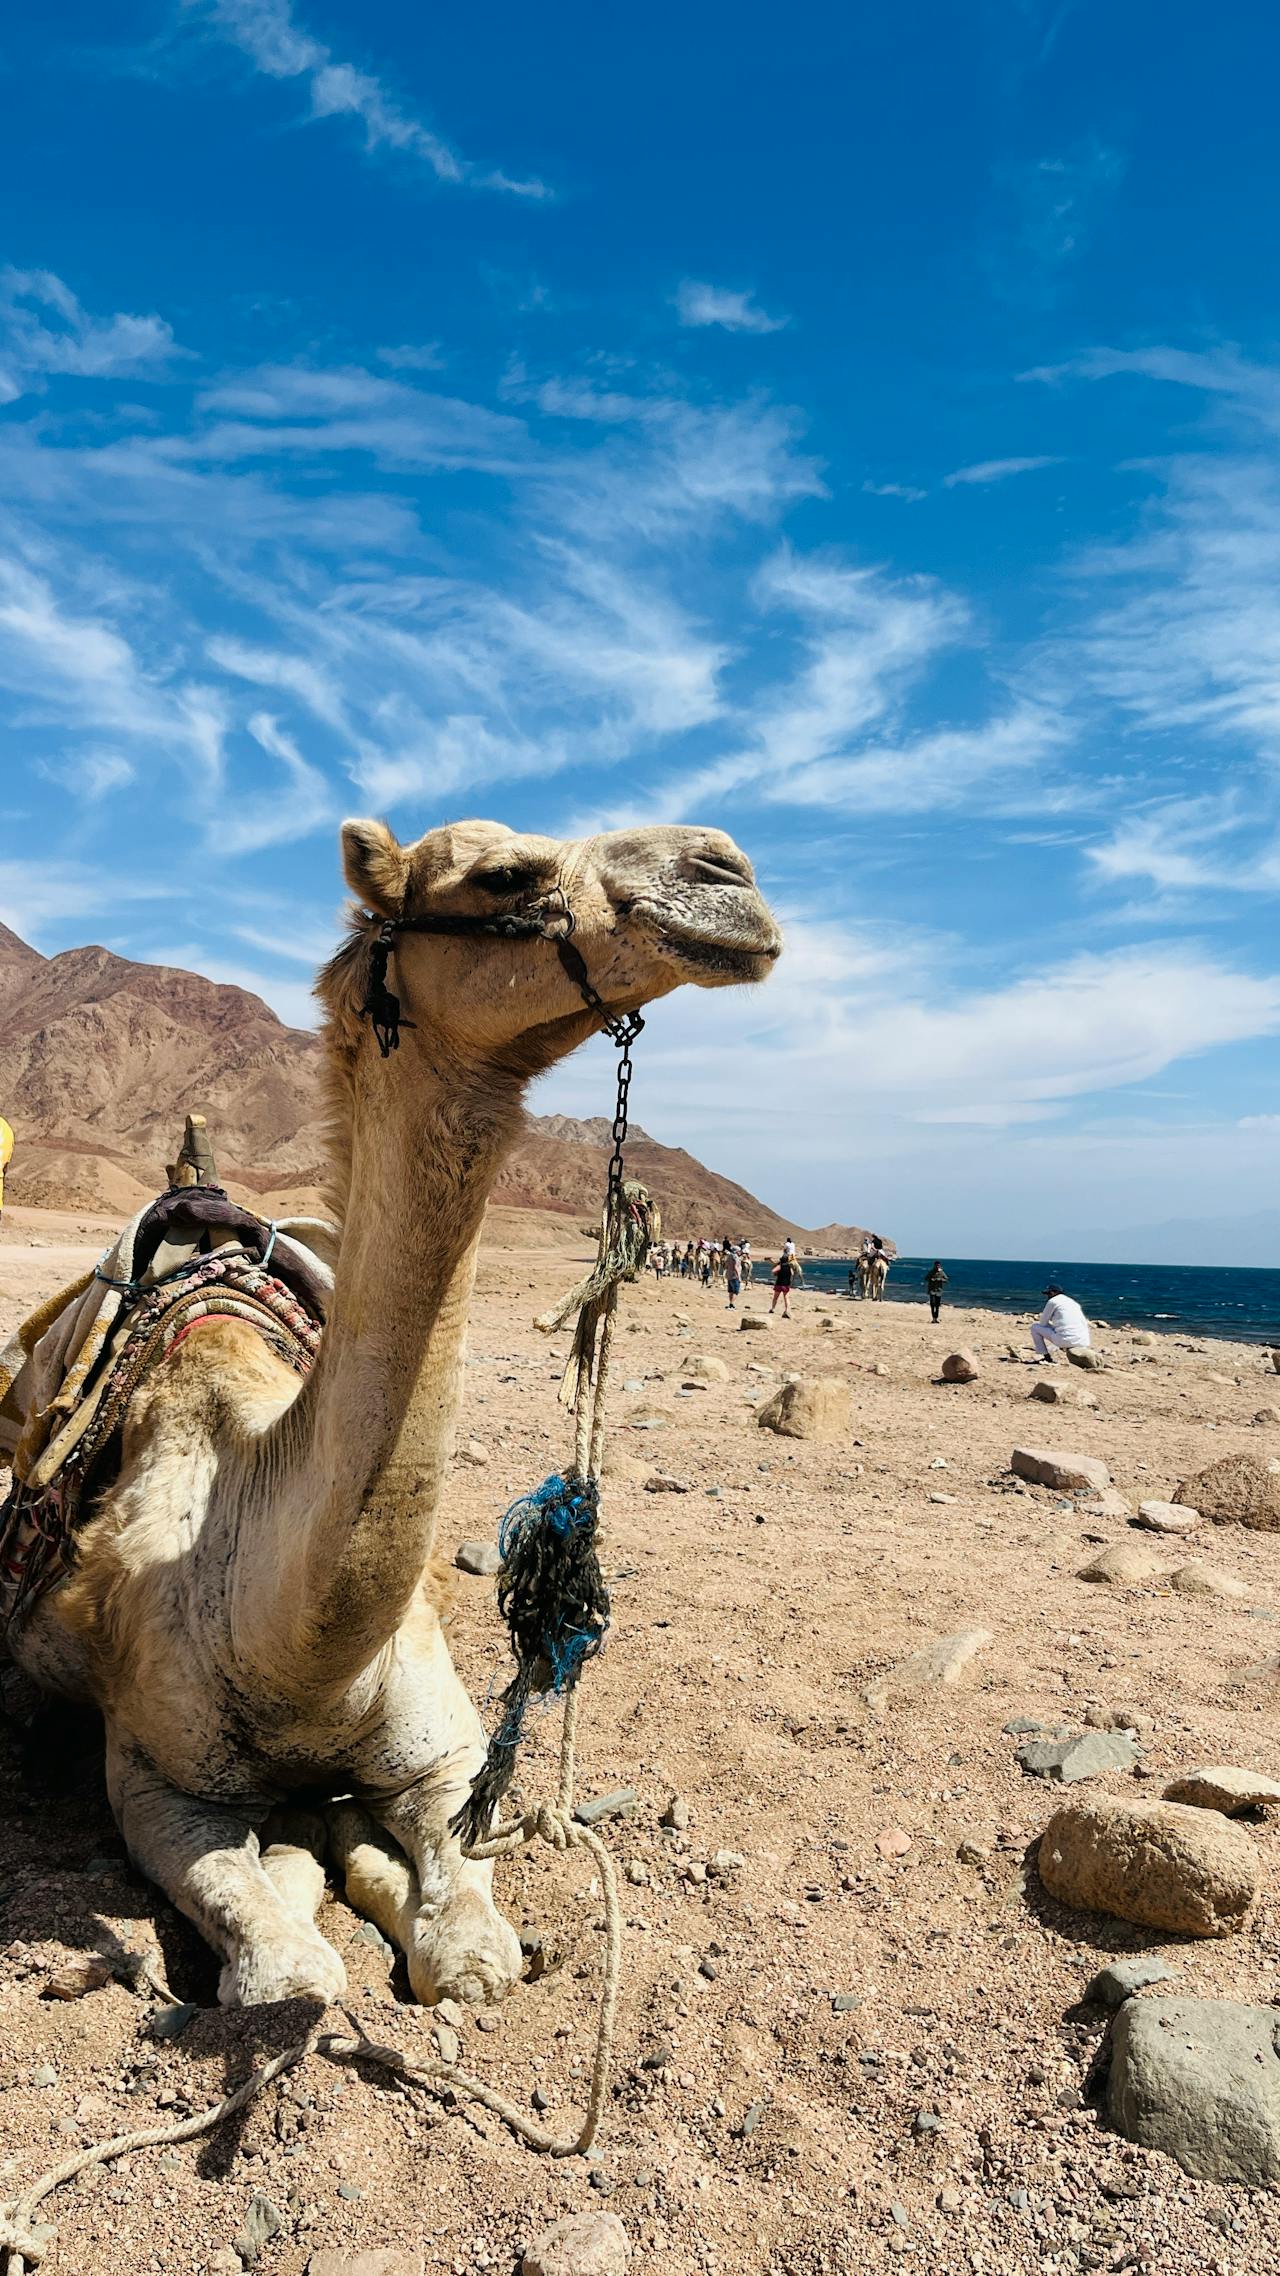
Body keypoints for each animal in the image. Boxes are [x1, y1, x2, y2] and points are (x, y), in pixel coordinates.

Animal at [8, 816, 780, 2009]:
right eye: (503, 873)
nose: (725, 870)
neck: (299, 1656)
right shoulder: (155, 1780)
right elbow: (286, 1966)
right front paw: (304, 1883)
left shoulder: (445, 1756)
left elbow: (470, 1946)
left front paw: (404, 1891)